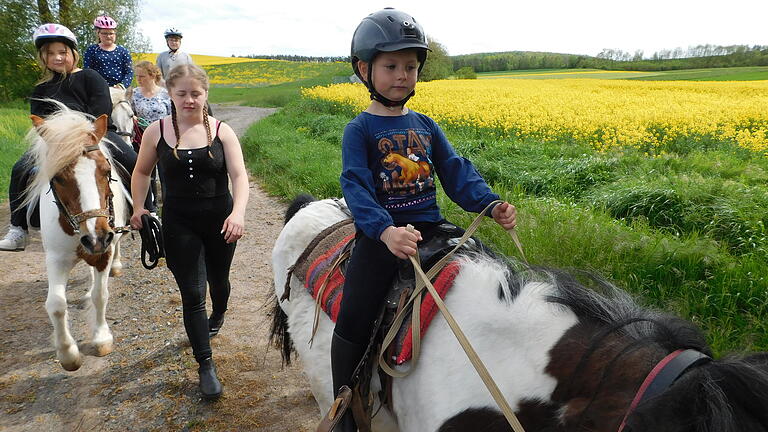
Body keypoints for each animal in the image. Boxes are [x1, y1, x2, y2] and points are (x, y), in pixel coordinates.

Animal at [24, 104, 129, 372]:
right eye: (58, 177)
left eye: (106, 171)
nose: (96, 237)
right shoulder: (56, 258)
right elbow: (56, 305)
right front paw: (68, 353)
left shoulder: (104, 252)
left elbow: (101, 295)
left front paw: (102, 338)